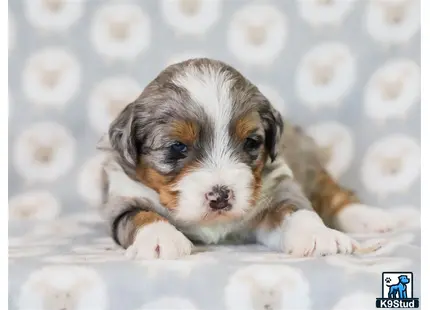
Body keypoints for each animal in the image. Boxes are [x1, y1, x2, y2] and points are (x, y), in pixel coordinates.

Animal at [96, 57, 396, 260]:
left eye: (251, 142)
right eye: (177, 147)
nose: (220, 196)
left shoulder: (278, 188)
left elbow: (295, 209)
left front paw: (316, 234)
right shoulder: (122, 198)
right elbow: (139, 214)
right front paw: (160, 238)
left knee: (334, 195)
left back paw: (372, 218)